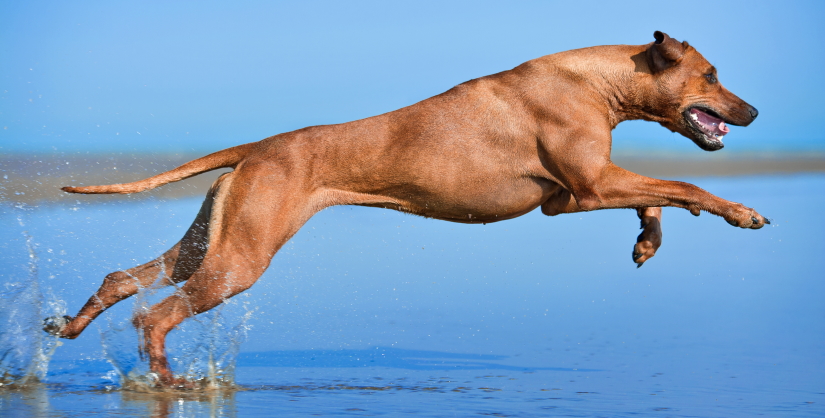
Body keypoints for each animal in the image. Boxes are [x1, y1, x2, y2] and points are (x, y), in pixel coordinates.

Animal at [45, 31, 768, 386]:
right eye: (711, 75)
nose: (755, 111)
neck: (595, 78)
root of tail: (260, 146)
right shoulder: (591, 185)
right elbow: (683, 184)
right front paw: (738, 213)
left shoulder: (568, 198)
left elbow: (660, 198)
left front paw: (647, 240)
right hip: (240, 259)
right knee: (155, 315)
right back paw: (167, 381)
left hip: (213, 240)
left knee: (127, 278)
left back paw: (73, 327)